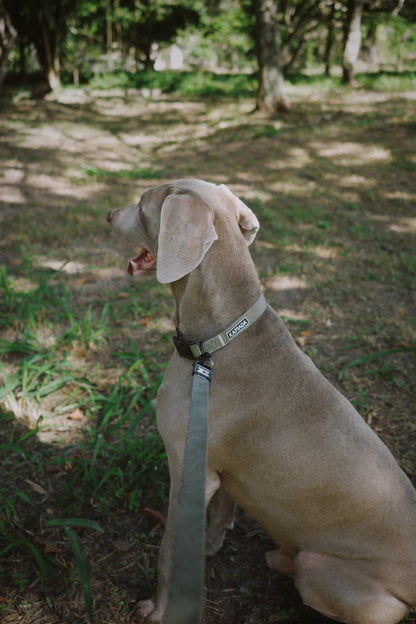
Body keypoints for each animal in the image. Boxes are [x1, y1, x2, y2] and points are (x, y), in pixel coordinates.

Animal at [108, 179, 416, 624]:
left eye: (141, 203)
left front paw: (158, 610)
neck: (217, 343)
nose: (108, 216)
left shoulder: (186, 469)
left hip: (330, 573)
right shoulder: (218, 471)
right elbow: (220, 515)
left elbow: (169, 552)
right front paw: (208, 551)